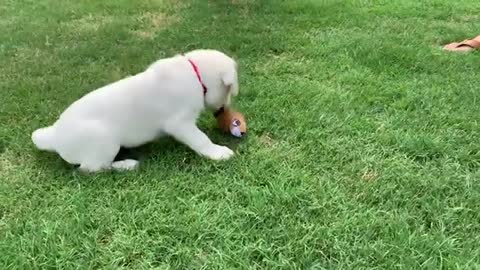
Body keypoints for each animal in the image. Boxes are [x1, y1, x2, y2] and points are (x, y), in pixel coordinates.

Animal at [31, 49, 238, 172]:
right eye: (229, 90)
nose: (224, 110)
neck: (195, 74)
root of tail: (54, 137)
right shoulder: (180, 124)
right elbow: (201, 139)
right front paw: (218, 152)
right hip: (104, 141)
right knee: (92, 168)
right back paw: (127, 164)